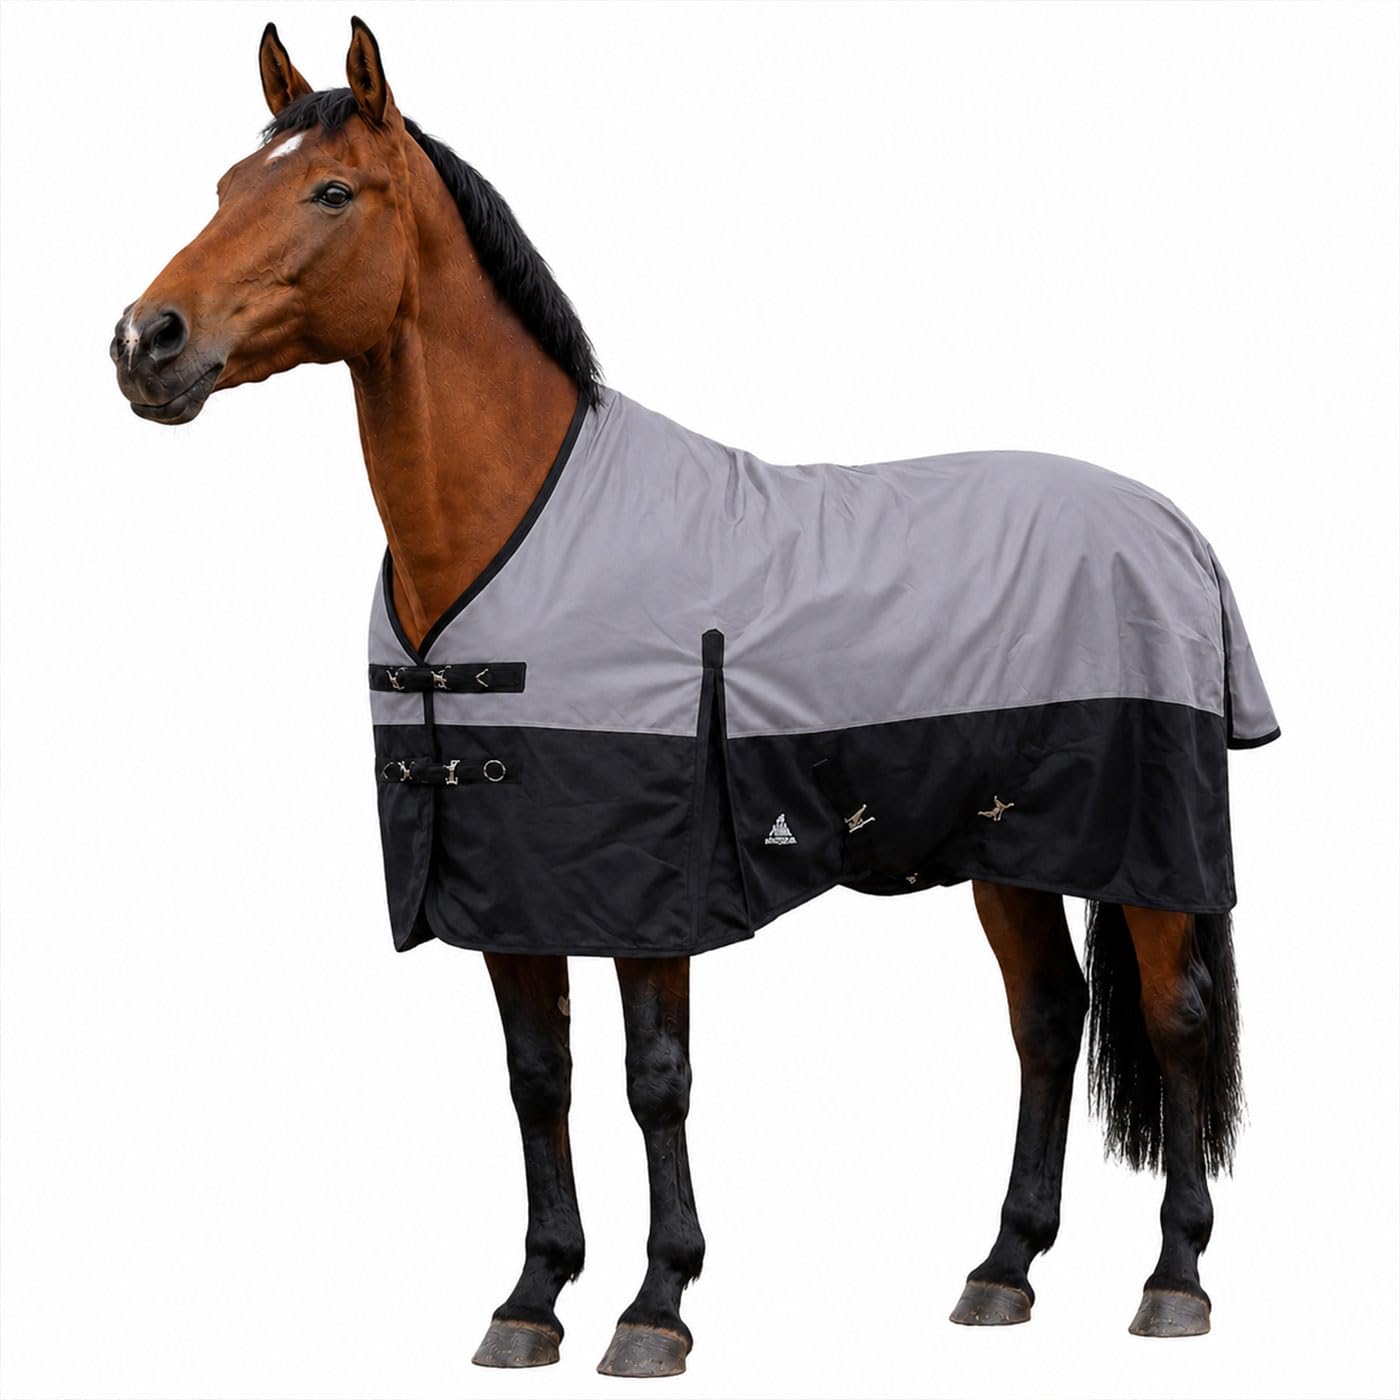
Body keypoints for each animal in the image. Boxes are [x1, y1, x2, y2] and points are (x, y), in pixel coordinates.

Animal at [111, 18, 1278, 1376]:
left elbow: (651, 1077)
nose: (145, 342)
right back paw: (1000, 1269)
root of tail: (1172, 527)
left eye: (331, 192)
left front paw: (652, 1303)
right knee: (1049, 1017)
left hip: (1145, 844)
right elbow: (538, 1077)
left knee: (1173, 1016)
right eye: (223, 189)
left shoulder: (649, 884)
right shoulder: (506, 885)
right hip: (1006, 847)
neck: (516, 523)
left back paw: (1173, 1279)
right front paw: (530, 1296)